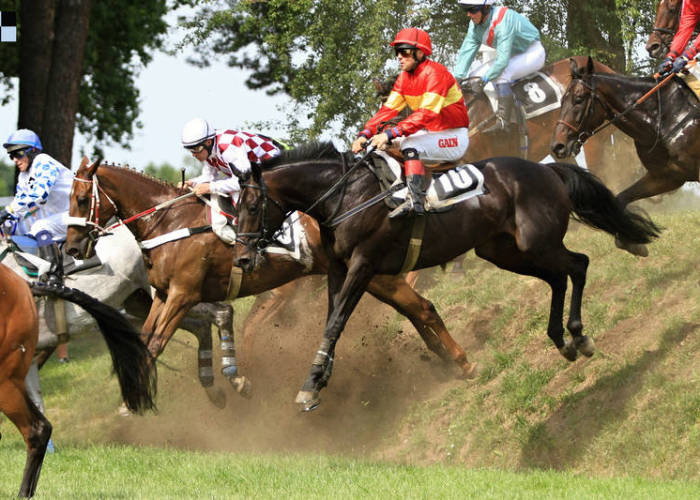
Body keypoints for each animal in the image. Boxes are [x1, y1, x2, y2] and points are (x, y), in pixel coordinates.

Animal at [232, 141, 660, 410]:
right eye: (234, 207)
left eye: (252, 205)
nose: (242, 258)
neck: (345, 196)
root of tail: (545, 169)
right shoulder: (338, 269)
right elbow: (331, 323)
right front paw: (318, 380)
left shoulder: (364, 265)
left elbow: (336, 322)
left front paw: (310, 385)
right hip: (505, 251)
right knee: (558, 277)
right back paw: (561, 339)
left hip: (537, 242)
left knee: (578, 265)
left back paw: (578, 335)